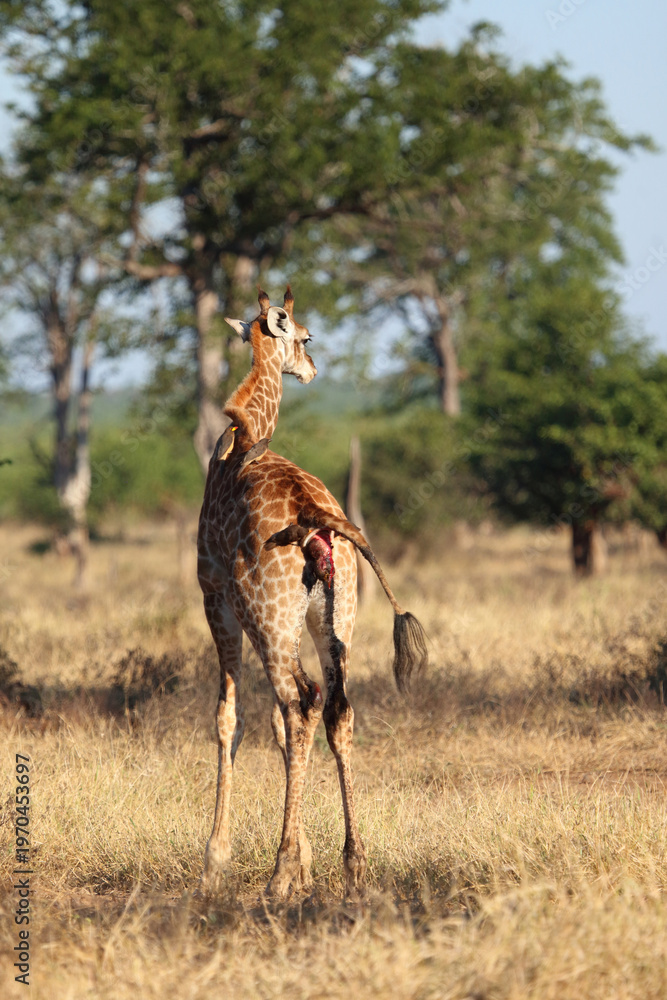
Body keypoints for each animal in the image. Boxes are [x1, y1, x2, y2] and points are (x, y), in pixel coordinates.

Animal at [197, 287, 427, 900]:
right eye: (305, 337)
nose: (312, 368)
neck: (244, 439)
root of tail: (319, 521)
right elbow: (274, 726)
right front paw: (306, 859)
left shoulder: (215, 595)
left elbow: (230, 718)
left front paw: (217, 859)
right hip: (335, 615)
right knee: (335, 707)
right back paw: (353, 865)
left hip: (268, 616)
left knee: (299, 703)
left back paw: (278, 874)